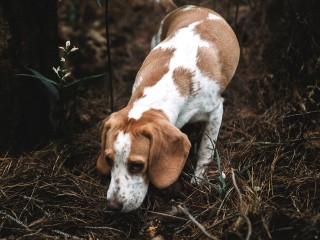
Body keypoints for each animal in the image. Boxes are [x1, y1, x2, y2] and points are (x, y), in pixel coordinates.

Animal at [97, 5, 240, 212]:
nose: (113, 205)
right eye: (108, 159)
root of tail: (194, 7)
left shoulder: (216, 112)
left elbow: (206, 149)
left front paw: (198, 179)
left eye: (136, 166)